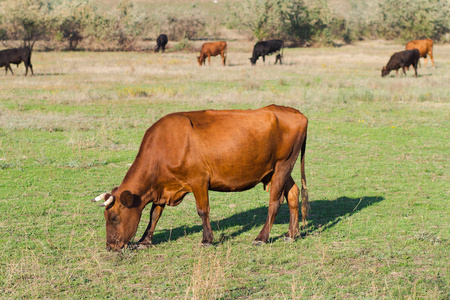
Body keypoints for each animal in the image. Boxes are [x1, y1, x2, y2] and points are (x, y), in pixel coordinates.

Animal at [91, 105, 310, 251]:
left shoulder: (198, 181)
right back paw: (291, 234)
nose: (110, 246)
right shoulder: (162, 187)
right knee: (293, 194)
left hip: (282, 165)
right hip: (279, 169)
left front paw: (207, 239)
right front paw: (144, 241)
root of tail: (295, 113)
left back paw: (262, 237)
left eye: (114, 217)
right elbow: (155, 214)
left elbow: (202, 211)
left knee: (275, 202)